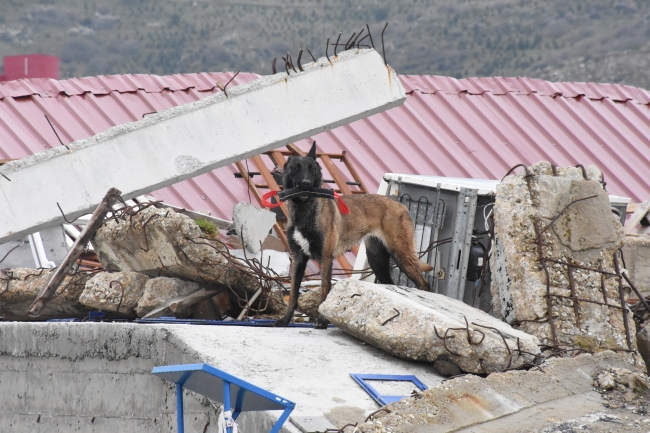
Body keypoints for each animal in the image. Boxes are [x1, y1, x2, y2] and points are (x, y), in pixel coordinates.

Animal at [272, 142, 430, 328]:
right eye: (296, 168)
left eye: (312, 169)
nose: (306, 183)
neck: (304, 212)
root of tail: (401, 205)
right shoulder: (298, 260)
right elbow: (293, 294)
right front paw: (285, 319)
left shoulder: (325, 258)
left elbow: (325, 290)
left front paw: (322, 320)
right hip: (378, 262)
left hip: (402, 255)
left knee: (425, 285)